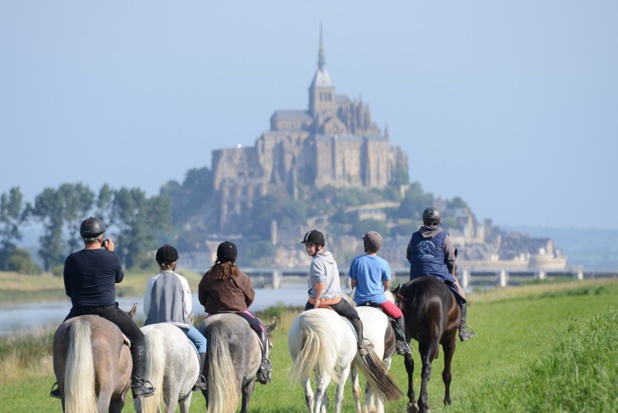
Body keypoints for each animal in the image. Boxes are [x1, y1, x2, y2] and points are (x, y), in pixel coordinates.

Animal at [392, 276, 460, 413]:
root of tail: (422, 286)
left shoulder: (422, 344)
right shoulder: (450, 343)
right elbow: (447, 373)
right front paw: (447, 401)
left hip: (407, 335)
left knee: (409, 363)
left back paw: (412, 401)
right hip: (435, 341)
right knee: (427, 367)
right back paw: (423, 404)